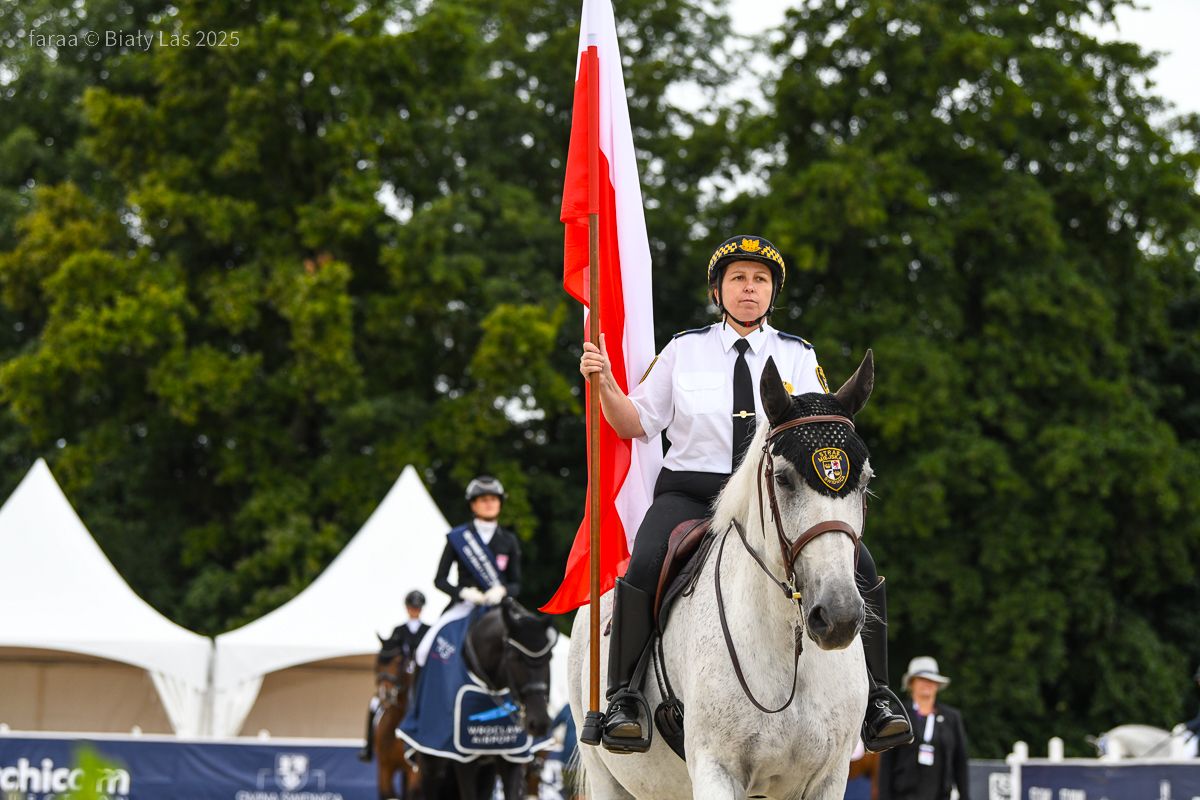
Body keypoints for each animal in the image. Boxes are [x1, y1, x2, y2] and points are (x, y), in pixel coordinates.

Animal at [373, 641, 422, 800]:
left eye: (398, 661)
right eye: (378, 663)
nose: (386, 694)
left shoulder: (415, 773)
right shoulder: (385, 769)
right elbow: (388, 794)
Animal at [417, 598, 558, 800]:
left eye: (549, 656)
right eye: (514, 656)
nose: (539, 723)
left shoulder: (511, 757)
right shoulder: (463, 759)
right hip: (432, 762)